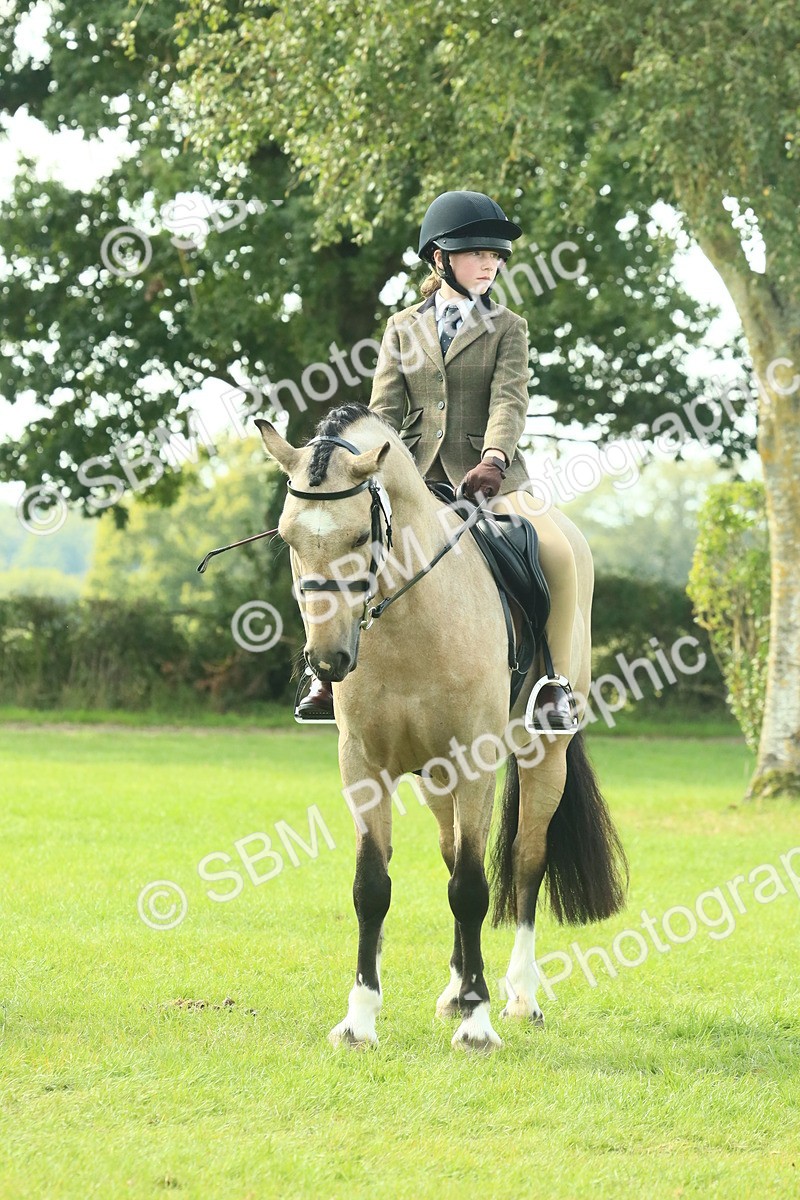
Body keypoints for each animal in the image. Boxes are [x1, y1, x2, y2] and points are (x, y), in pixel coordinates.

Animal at [256, 403, 627, 1051]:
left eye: (360, 536)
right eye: (288, 538)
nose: (328, 661)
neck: (410, 621)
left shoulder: (474, 763)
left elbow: (475, 890)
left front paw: (478, 1026)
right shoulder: (364, 767)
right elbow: (373, 887)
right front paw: (359, 1020)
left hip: (542, 754)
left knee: (526, 861)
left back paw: (520, 997)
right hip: (432, 778)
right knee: (454, 853)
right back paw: (457, 992)